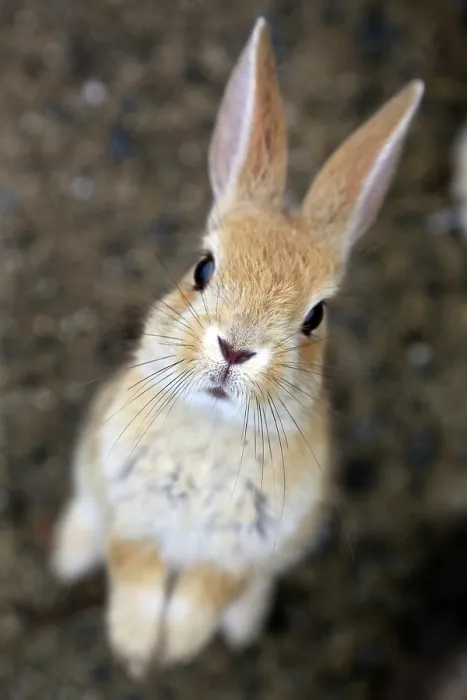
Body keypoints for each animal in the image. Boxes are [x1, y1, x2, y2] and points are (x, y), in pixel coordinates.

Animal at [50, 16, 424, 680]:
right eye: (202, 267)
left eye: (316, 316)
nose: (235, 350)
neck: (213, 430)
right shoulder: (131, 518)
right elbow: (137, 576)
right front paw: (137, 649)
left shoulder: (238, 554)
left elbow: (206, 594)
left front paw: (174, 649)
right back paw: (69, 556)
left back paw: (245, 626)